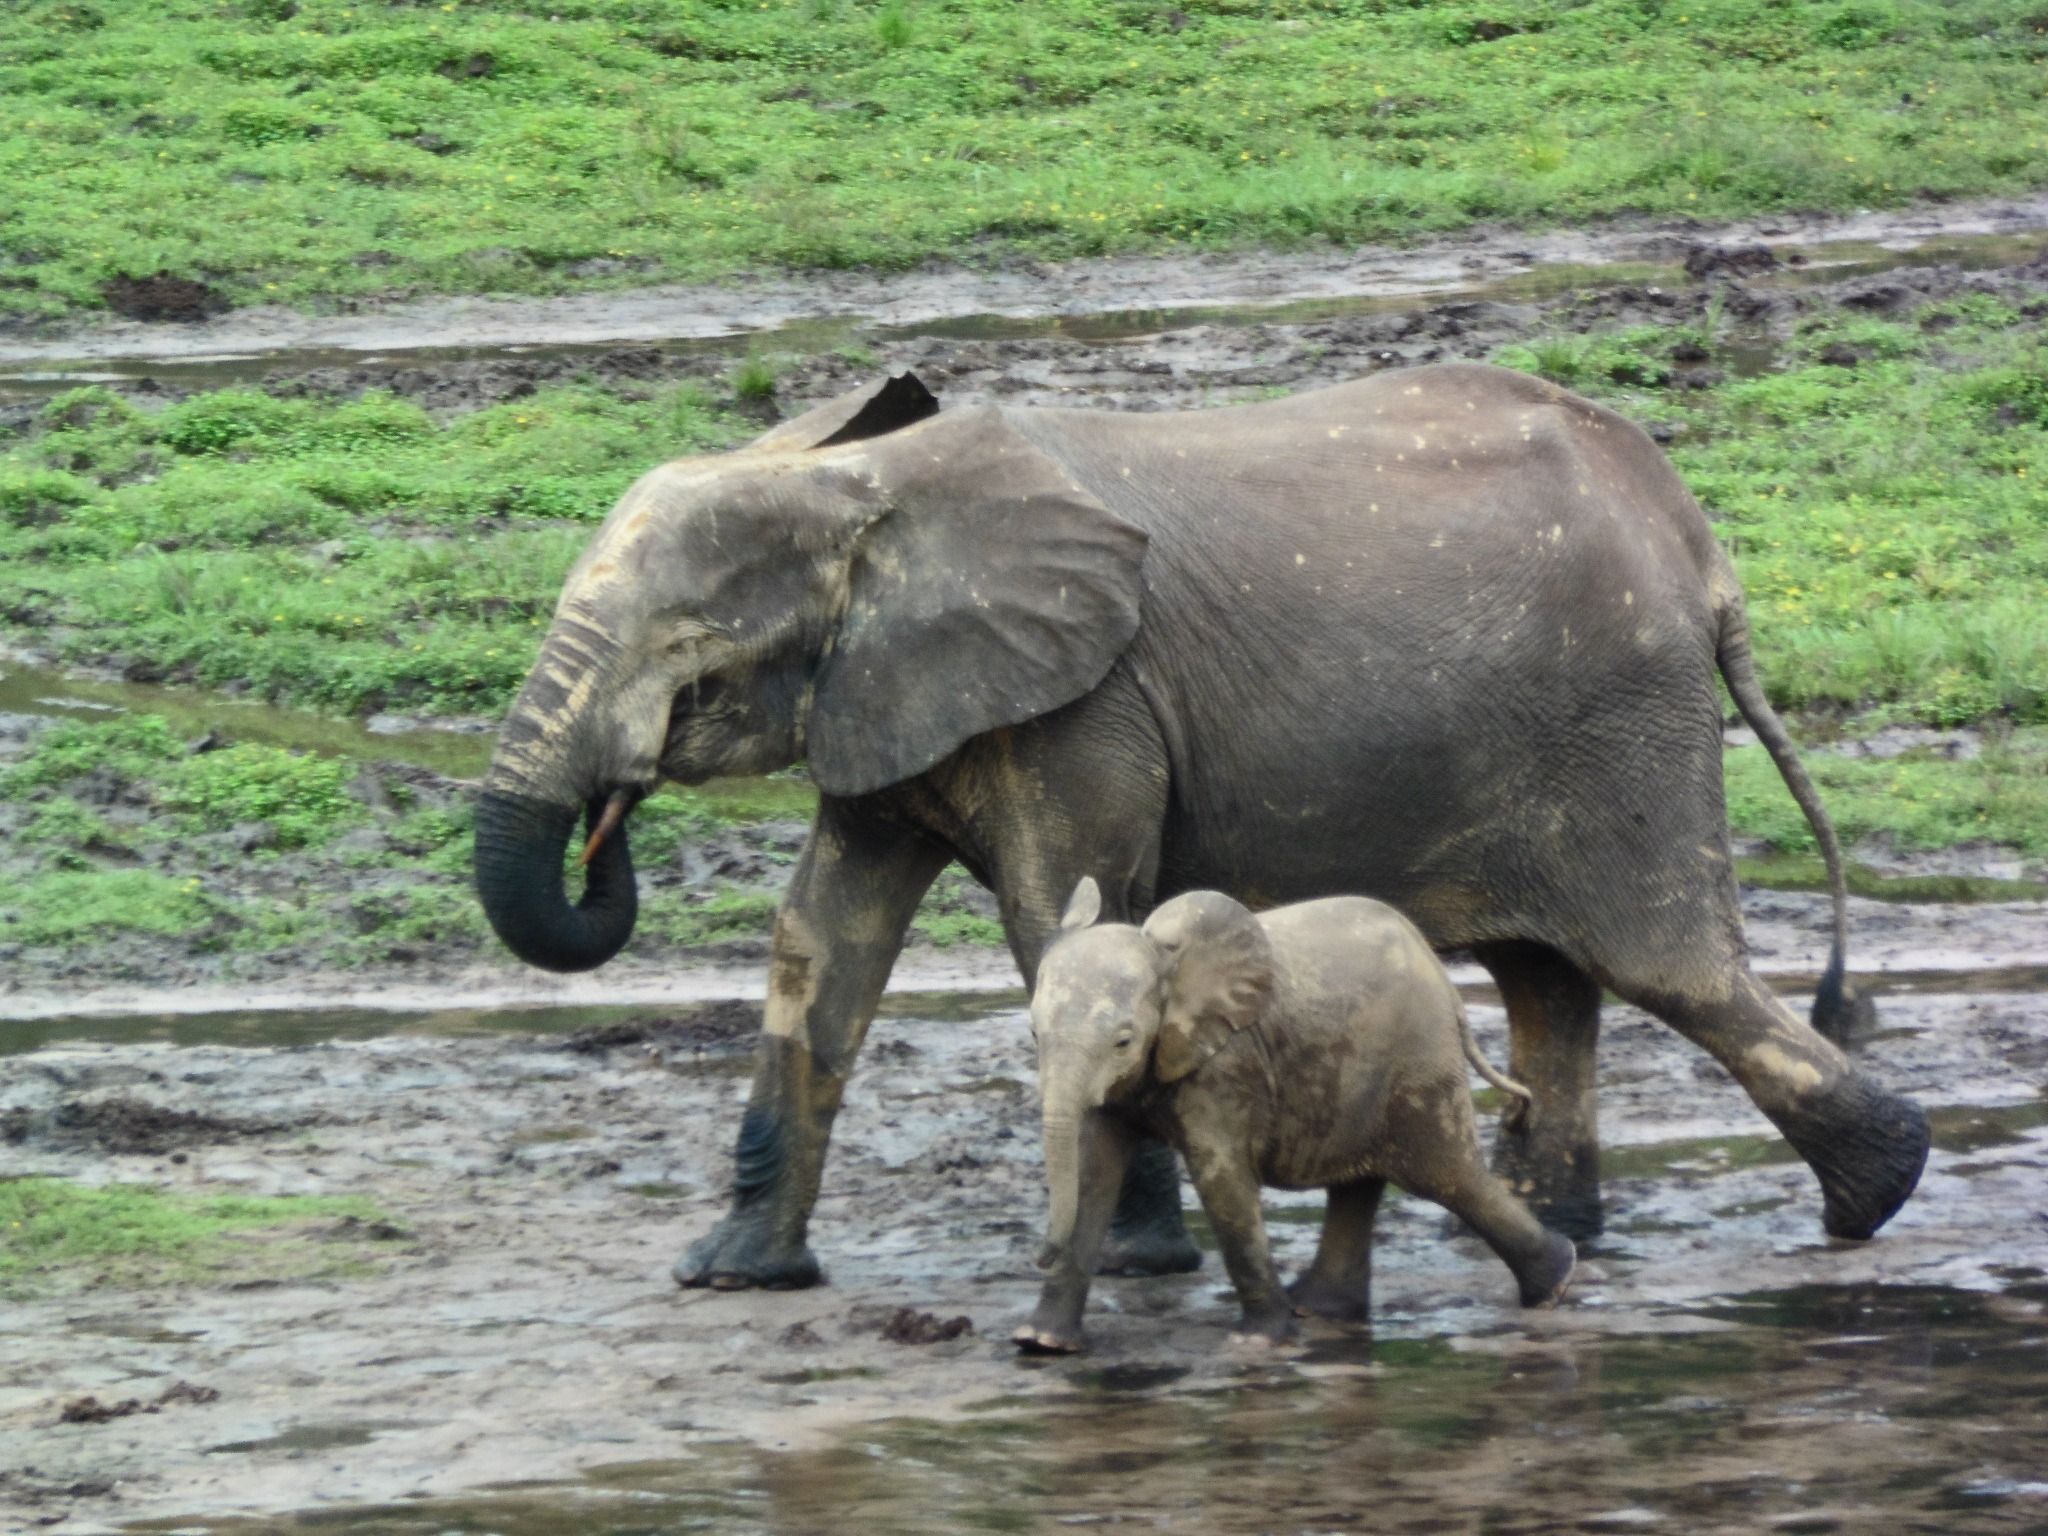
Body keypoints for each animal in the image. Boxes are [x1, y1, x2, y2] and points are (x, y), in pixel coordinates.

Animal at [471, 364, 1925, 1286]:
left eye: (687, 647)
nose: (608, 824)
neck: (858, 482)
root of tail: (1700, 548)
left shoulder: (1086, 701)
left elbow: (1061, 921)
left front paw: (1129, 1261)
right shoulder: (886, 696)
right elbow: (817, 944)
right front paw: (731, 1280)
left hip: (1621, 716)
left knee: (1668, 969)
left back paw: (1877, 1194)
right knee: (1550, 977)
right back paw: (1541, 1226)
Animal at [1015, 884, 1572, 1351]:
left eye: (1124, 1041)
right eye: (1035, 1034)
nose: (1036, 1255)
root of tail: (1441, 975)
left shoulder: (1226, 1064)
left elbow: (1221, 1180)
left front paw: (1257, 1342)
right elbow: (1093, 1173)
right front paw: (1041, 1343)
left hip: (1417, 1057)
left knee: (1447, 1174)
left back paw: (1556, 1284)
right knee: (1364, 1180)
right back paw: (1318, 1310)